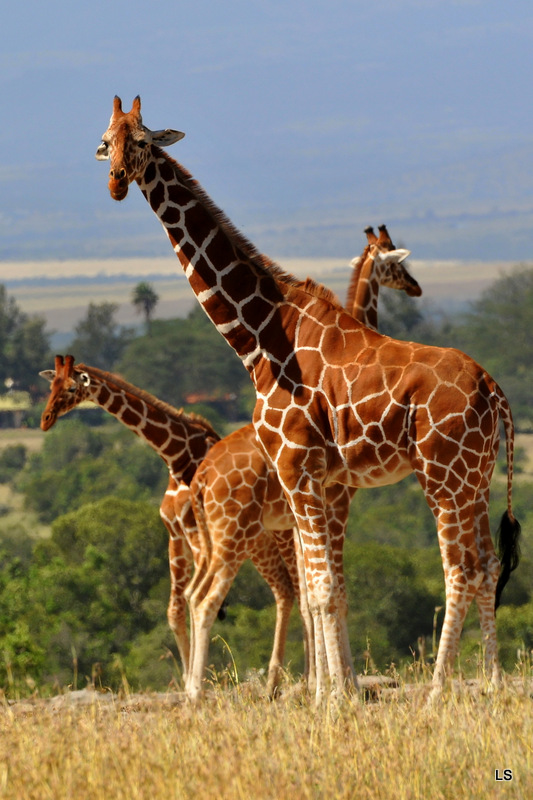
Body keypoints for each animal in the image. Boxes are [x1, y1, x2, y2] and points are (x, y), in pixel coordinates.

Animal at [40, 354, 300, 692]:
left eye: (71, 388)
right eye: (51, 386)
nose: (45, 419)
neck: (176, 457)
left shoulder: (195, 532)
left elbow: (192, 601)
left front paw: (198, 679)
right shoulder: (174, 534)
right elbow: (176, 610)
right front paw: (190, 678)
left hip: (269, 537)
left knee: (293, 589)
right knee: (289, 589)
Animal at [183, 222, 420, 696]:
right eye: (396, 264)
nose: (416, 287)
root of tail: (200, 480)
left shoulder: (302, 514)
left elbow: (312, 596)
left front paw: (319, 683)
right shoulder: (339, 499)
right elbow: (332, 591)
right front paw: (336, 684)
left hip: (215, 538)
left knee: (194, 595)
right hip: (234, 534)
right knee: (206, 599)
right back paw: (197, 691)